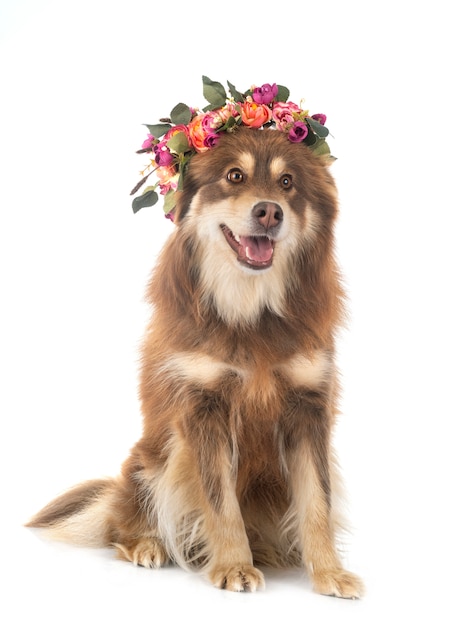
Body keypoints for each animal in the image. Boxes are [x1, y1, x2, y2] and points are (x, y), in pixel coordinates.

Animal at [27, 125, 364, 596]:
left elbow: (317, 501)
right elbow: (221, 502)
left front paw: (329, 573)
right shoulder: (204, 407)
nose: (269, 213)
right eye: (235, 176)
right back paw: (149, 545)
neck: (250, 313)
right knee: (123, 525)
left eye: (287, 183)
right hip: (154, 459)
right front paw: (235, 566)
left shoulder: (308, 405)